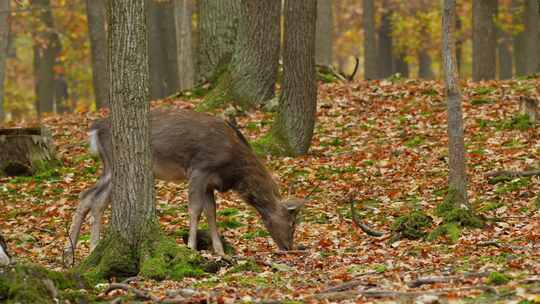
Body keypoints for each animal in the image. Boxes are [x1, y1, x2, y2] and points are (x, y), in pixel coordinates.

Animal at [63, 109, 304, 262]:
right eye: (292, 222)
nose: (288, 247)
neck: (233, 169)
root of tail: (95, 129)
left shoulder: (210, 182)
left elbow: (211, 212)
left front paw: (220, 252)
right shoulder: (199, 169)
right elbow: (195, 209)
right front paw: (191, 247)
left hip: (109, 167)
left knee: (88, 196)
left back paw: (72, 251)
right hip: (115, 164)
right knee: (95, 199)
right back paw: (90, 247)